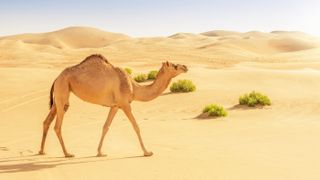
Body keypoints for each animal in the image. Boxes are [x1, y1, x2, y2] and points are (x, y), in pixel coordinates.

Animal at [38, 54, 188, 157]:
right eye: (174, 65)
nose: (185, 67)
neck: (133, 86)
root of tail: (56, 78)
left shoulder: (115, 106)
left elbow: (106, 127)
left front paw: (100, 152)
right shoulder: (125, 104)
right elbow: (136, 126)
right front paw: (147, 152)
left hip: (59, 97)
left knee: (47, 121)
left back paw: (42, 151)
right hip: (63, 91)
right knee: (57, 126)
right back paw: (67, 153)